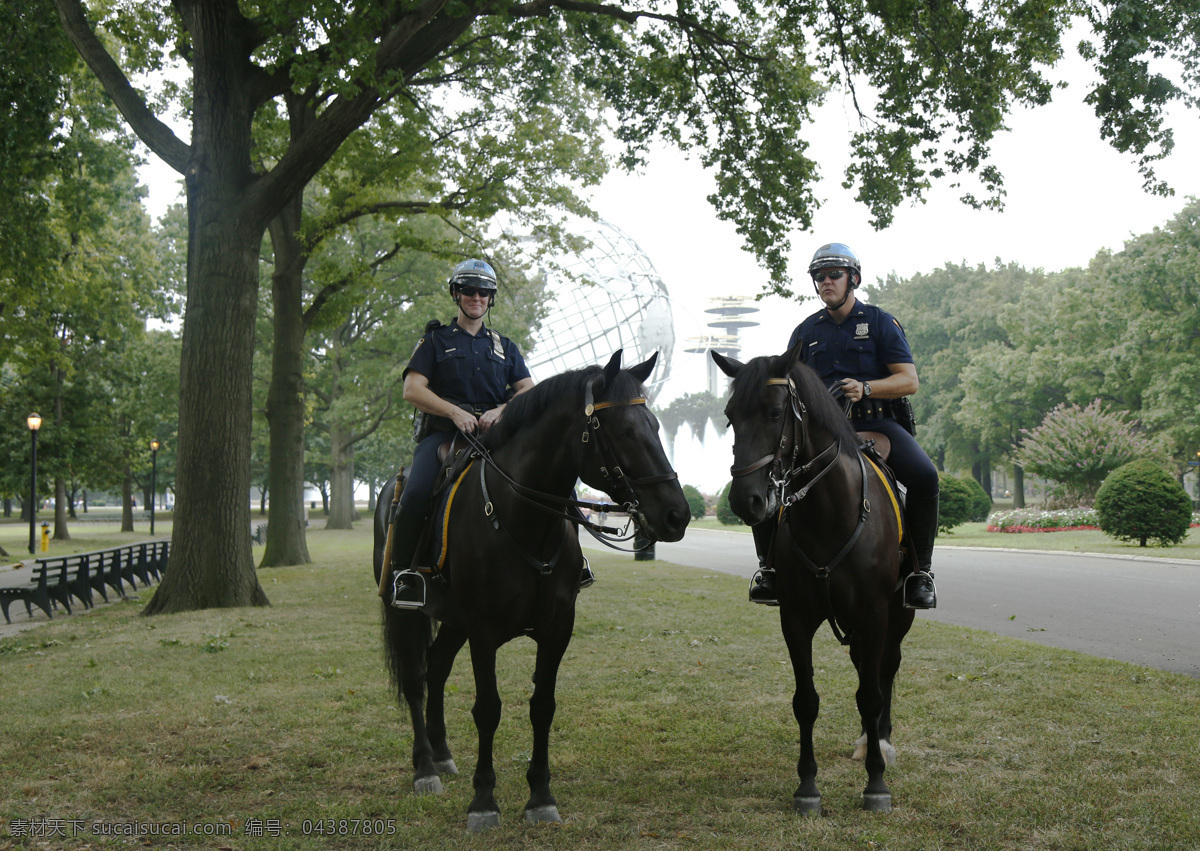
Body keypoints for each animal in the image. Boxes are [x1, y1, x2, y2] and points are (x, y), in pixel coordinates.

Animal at [374, 350, 696, 830]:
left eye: (656, 426)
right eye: (624, 430)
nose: (677, 515)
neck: (522, 516)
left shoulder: (557, 628)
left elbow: (543, 705)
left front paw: (541, 796)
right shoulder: (484, 630)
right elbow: (488, 709)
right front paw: (484, 801)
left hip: (453, 619)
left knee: (437, 667)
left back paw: (444, 753)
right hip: (405, 608)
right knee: (415, 677)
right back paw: (426, 768)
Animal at [705, 340, 912, 811]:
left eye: (774, 411)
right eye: (729, 415)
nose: (744, 500)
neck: (829, 513)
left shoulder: (874, 614)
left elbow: (871, 694)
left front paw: (876, 783)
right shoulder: (796, 618)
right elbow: (806, 700)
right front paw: (807, 786)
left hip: (898, 612)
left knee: (886, 667)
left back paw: (880, 743)